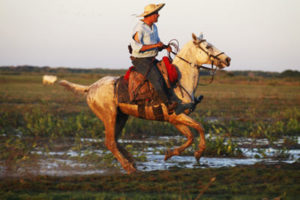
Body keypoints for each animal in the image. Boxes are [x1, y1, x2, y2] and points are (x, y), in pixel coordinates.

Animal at [59, 32, 232, 173]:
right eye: (208, 46)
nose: (227, 59)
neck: (179, 80)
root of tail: (90, 88)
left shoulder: (174, 119)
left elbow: (190, 136)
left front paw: (170, 154)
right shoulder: (177, 116)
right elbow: (200, 128)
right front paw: (199, 153)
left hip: (121, 117)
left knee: (115, 140)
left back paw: (132, 162)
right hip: (109, 116)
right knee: (110, 142)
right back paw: (129, 167)